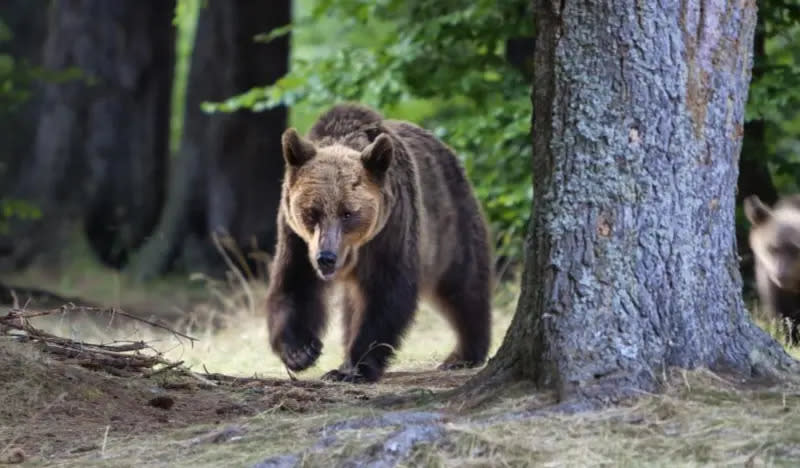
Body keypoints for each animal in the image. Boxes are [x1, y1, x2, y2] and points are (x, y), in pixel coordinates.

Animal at [268, 102, 494, 380]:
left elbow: (386, 294)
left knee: (463, 285)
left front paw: (355, 367)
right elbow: (295, 283)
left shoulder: (391, 229)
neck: (354, 251)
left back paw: (463, 354)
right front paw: (301, 351)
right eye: (312, 211)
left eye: (348, 212)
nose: (326, 258)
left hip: (449, 223)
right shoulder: (296, 237)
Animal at [748, 194, 800, 344]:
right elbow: (780, 312)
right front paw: (789, 338)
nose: (781, 274)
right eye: (772, 248)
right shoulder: (769, 280)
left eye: (796, 250)